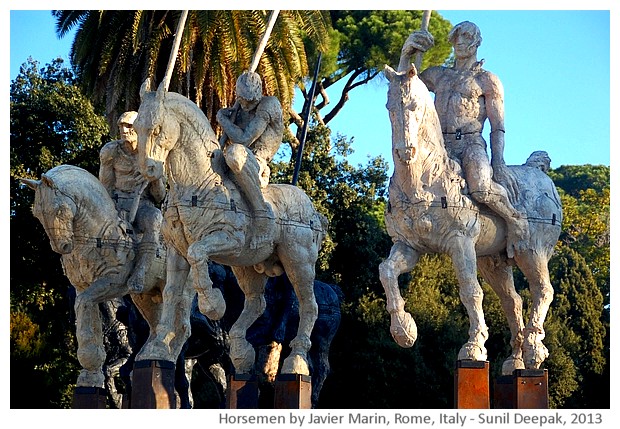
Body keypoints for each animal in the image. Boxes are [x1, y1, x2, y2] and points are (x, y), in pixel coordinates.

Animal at [134, 81, 330, 374]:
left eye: (157, 128)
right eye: (136, 127)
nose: (147, 169)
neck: (197, 183)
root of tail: (314, 212)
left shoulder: (227, 239)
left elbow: (198, 254)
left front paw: (212, 304)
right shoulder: (175, 251)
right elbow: (170, 292)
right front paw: (156, 349)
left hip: (299, 261)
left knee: (309, 306)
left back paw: (296, 360)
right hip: (247, 266)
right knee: (257, 303)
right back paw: (240, 351)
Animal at [380, 64, 564, 374]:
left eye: (414, 105)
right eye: (389, 107)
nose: (406, 151)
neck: (425, 180)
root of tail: (539, 173)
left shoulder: (460, 242)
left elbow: (470, 291)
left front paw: (474, 347)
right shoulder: (408, 246)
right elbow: (386, 271)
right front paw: (404, 330)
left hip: (532, 252)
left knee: (543, 291)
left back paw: (534, 350)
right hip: (494, 261)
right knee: (512, 301)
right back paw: (514, 360)